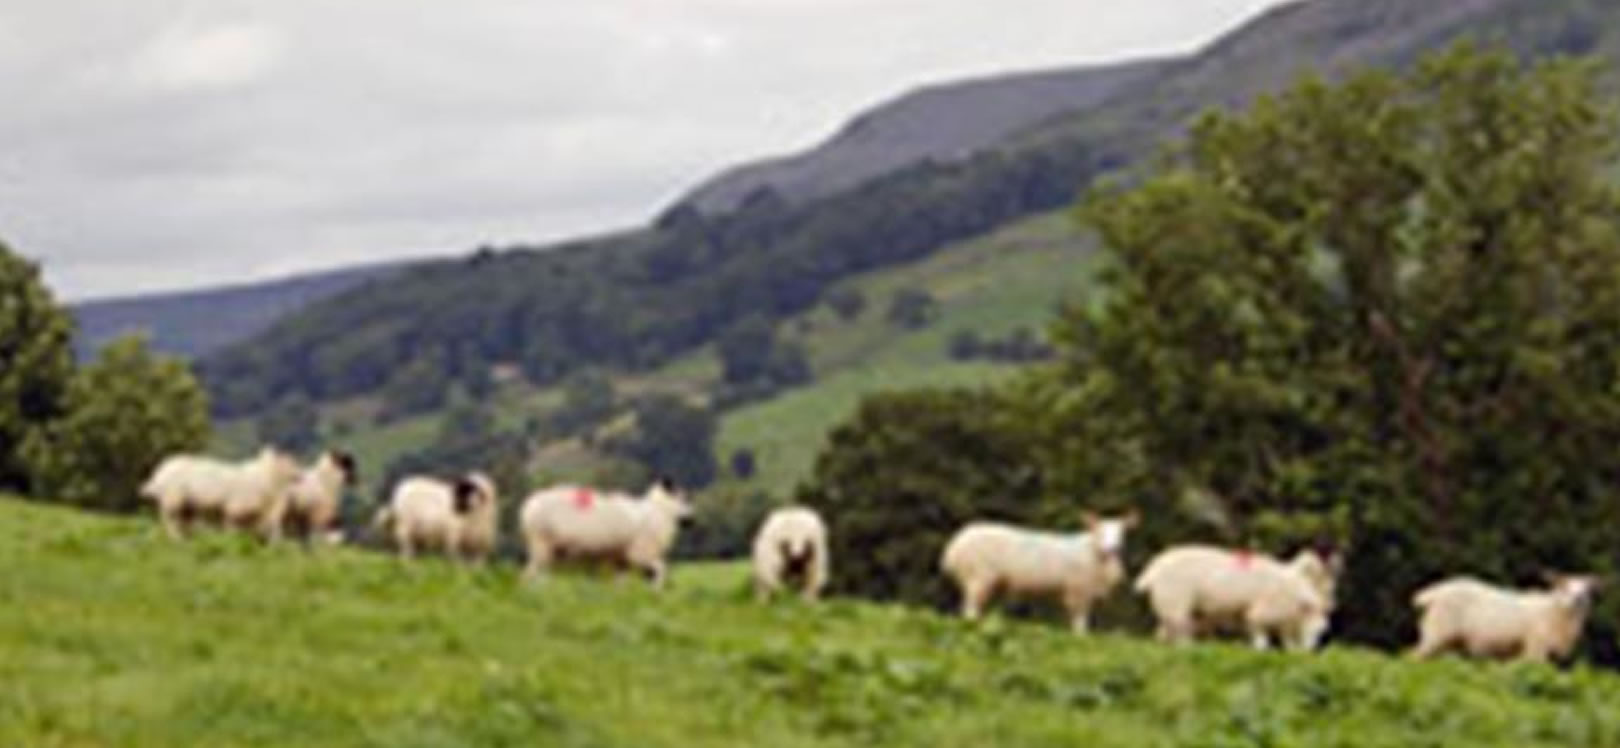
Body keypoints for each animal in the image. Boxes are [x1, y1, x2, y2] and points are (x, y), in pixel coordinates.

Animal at [142, 446, 304, 540]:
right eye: (291, 462)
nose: (301, 475)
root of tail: (159, 473)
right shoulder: (235, 509)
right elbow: (231, 528)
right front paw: (230, 541)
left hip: (186, 503)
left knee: (181, 520)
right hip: (173, 497)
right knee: (170, 520)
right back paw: (177, 539)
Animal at [521, 479, 693, 589]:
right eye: (682, 498)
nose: (692, 521)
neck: (658, 512)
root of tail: (527, 508)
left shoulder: (622, 561)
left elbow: (620, 585)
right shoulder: (640, 554)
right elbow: (662, 569)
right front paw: (656, 591)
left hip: (550, 549)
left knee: (537, 575)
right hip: (541, 543)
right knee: (530, 575)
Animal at [939, 511, 1140, 634]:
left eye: (1122, 532)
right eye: (1100, 531)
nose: (1113, 548)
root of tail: (954, 547)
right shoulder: (1078, 591)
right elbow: (1080, 623)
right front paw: (1081, 638)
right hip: (979, 576)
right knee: (970, 610)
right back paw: (972, 627)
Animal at [1127, 544, 1341, 647]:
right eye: (1329, 582)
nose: (1332, 605)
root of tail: (1153, 569)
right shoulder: (1261, 614)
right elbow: (1262, 641)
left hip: (1171, 607)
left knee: (1163, 635)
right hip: (1176, 604)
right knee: (1180, 636)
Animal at [1412, 576, 1600, 663]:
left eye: (1586, 590)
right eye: (1565, 588)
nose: (1578, 599)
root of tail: (1434, 593)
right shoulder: (1536, 649)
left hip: (1447, 641)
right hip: (1436, 633)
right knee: (1413, 657)